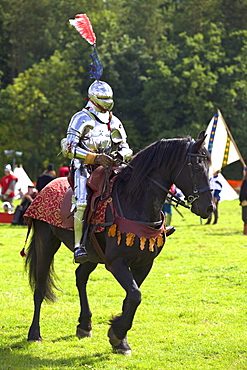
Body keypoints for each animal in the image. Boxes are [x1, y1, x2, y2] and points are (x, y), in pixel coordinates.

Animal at [25, 132, 214, 354]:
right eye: (197, 167)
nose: (209, 208)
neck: (134, 202)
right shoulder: (116, 262)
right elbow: (135, 295)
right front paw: (117, 333)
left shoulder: (144, 264)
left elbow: (131, 297)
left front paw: (120, 340)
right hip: (46, 243)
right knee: (40, 287)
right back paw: (34, 333)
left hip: (91, 254)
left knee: (80, 277)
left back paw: (84, 324)